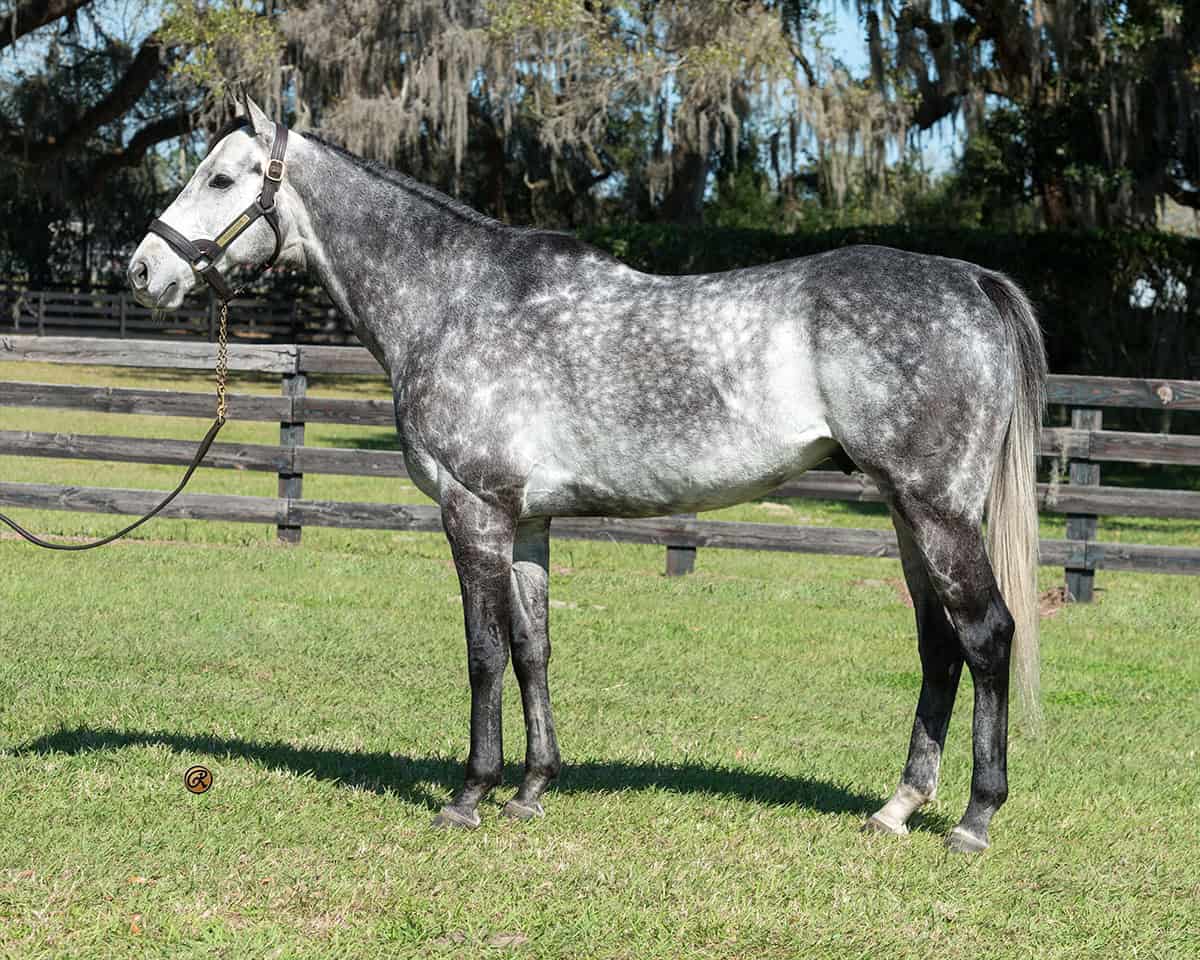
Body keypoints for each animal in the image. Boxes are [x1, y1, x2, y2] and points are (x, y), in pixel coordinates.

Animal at [129, 96, 1046, 853]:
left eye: (220, 177)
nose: (143, 270)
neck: (453, 299)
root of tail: (972, 280)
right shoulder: (528, 520)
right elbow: (533, 649)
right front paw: (532, 790)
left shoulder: (474, 510)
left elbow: (483, 652)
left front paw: (469, 795)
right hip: (905, 513)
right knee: (938, 646)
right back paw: (897, 808)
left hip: (936, 511)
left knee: (986, 635)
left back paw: (974, 819)